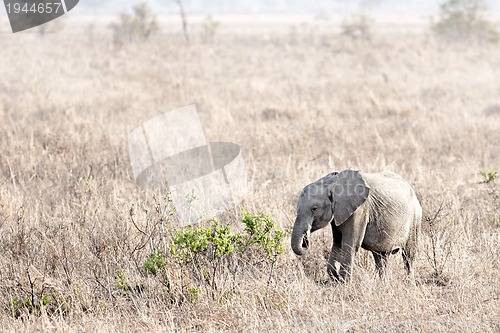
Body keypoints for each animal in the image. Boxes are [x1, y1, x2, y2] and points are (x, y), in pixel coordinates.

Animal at [292, 169, 420, 280]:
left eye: (314, 209)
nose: (305, 241)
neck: (332, 183)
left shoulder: (360, 210)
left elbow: (351, 245)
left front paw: (344, 283)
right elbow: (338, 242)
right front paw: (336, 276)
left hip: (414, 220)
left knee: (408, 255)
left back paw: (408, 281)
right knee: (380, 257)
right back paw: (382, 282)